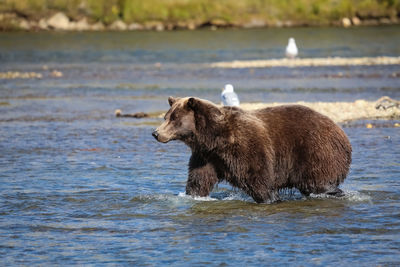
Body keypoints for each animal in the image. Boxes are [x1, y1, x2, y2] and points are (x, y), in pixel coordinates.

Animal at [152, 97, 352, 204]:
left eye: (174, 118)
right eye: (166, 116)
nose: (155, 133)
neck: (215, 137)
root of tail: (340, 131)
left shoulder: (245, 147)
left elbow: (257, 175)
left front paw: (270, 198)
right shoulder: (206, 157)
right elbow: (198, 180)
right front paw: (192, 195)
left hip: (314, 150)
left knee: (317, 182)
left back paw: (334, 192)